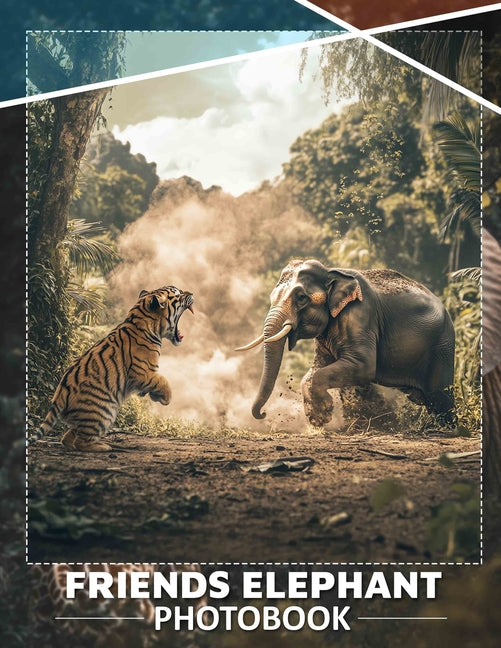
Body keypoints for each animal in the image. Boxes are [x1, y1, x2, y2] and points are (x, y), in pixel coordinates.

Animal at [237, 259, 456, 427]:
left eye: (301, 298)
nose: (263, 414)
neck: (330, 271)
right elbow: (317, 367)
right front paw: (317, 419)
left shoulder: (360, 315)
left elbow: (364, 366)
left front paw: (323, 413)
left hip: (442, 347)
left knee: (441, 396)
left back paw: (446, 429)